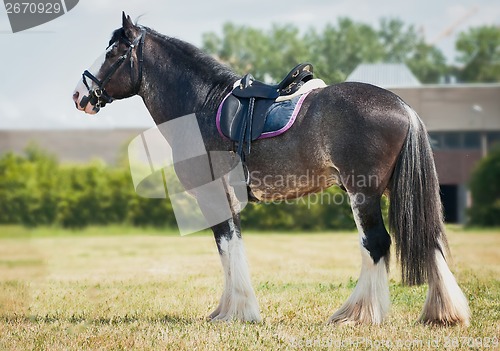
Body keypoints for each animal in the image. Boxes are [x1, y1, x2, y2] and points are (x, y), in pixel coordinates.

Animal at [71, 13, 468, 328]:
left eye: (114, 53)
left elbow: (227, 246)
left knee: (376, 243)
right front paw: (228, 310)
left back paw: (358, 314)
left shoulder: (212, 194)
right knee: (429, 237)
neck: (201, 106)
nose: (79, 95)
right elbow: (230, 248)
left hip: (364, 194)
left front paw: (237, 312)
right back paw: (443, 313)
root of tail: (403, 106)